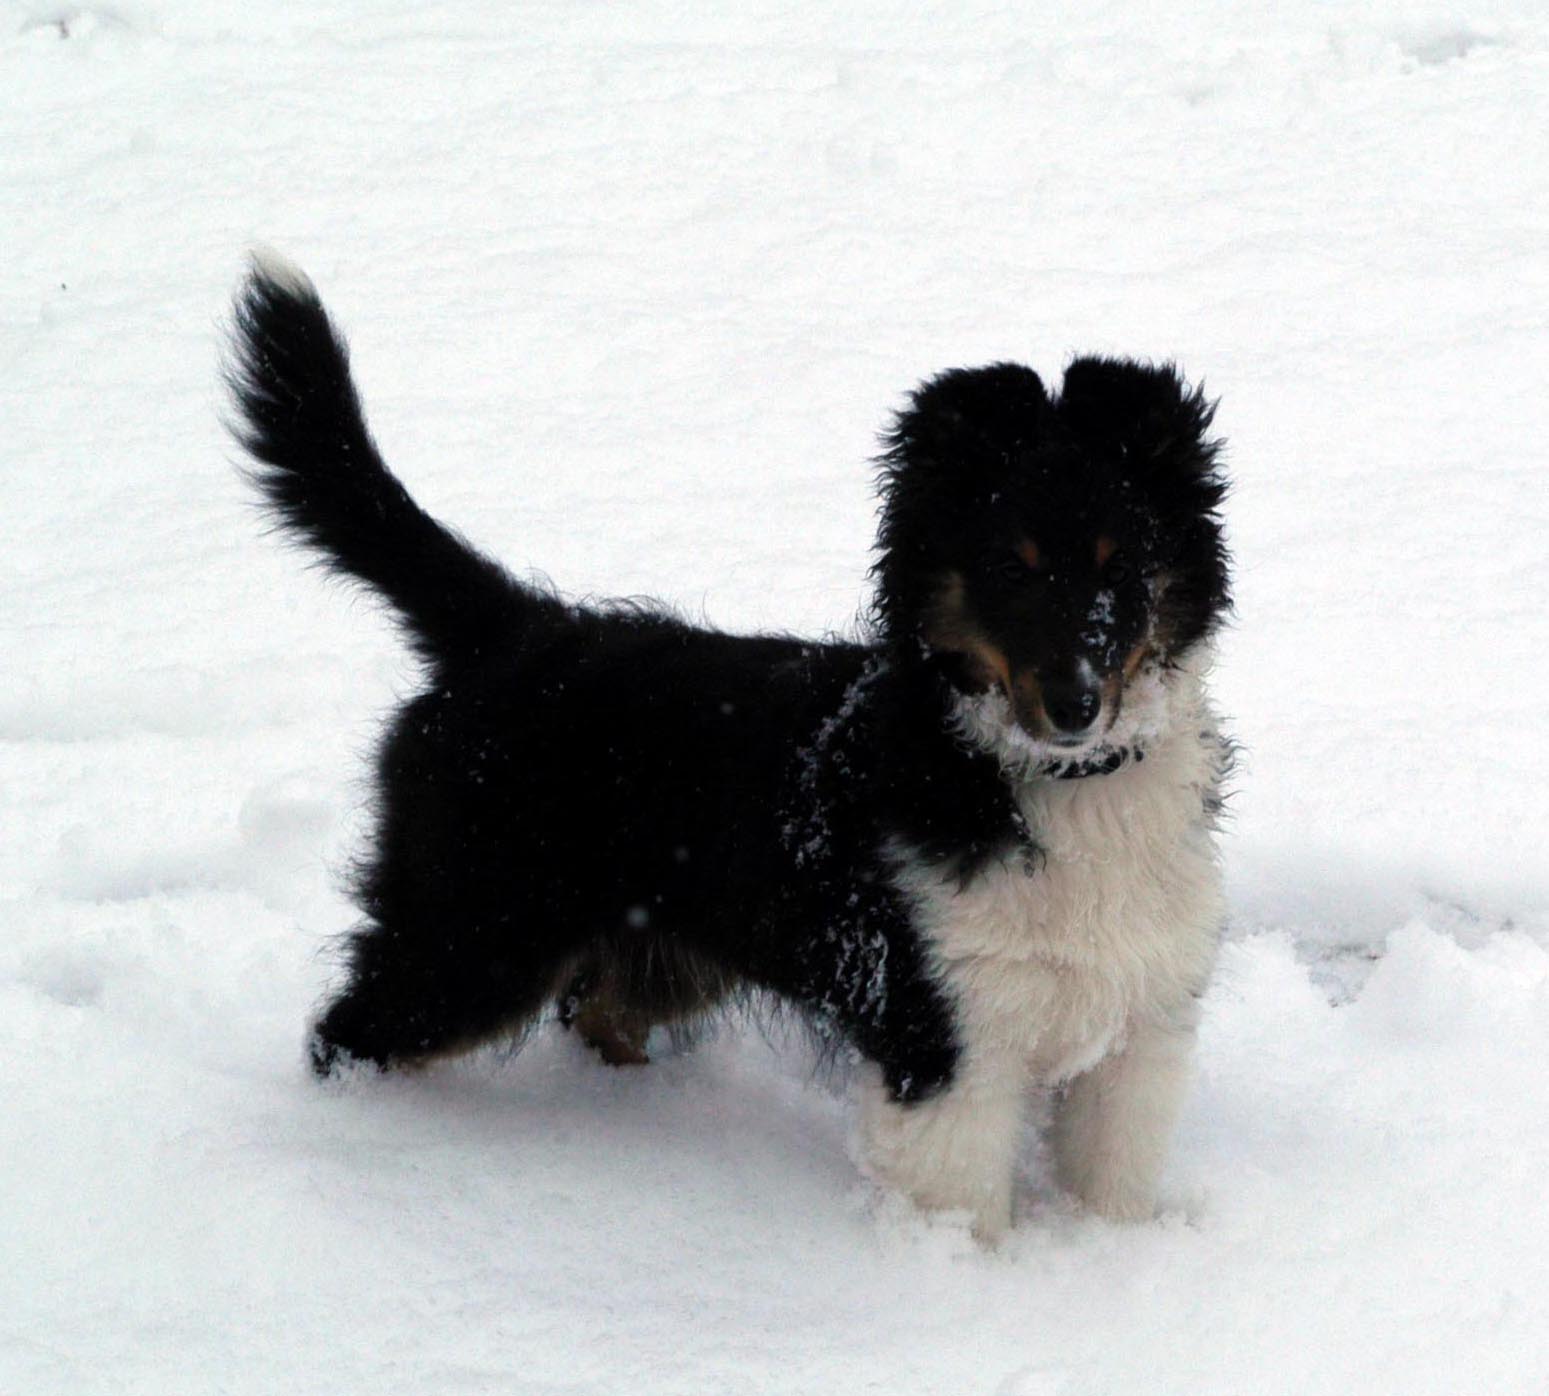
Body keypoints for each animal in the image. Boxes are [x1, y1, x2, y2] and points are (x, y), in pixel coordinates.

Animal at [226, 252, 1231, 1241]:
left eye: (1120, 567)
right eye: (1007, 571)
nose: (1074, 706)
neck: (1059, 782)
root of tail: (516, 628)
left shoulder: (1138, 1026)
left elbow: (1113, 1184)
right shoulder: (944, 1028)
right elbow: (962, 1208)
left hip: (649, 939)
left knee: (593, 1013)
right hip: (475, 926)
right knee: (346, 1034)